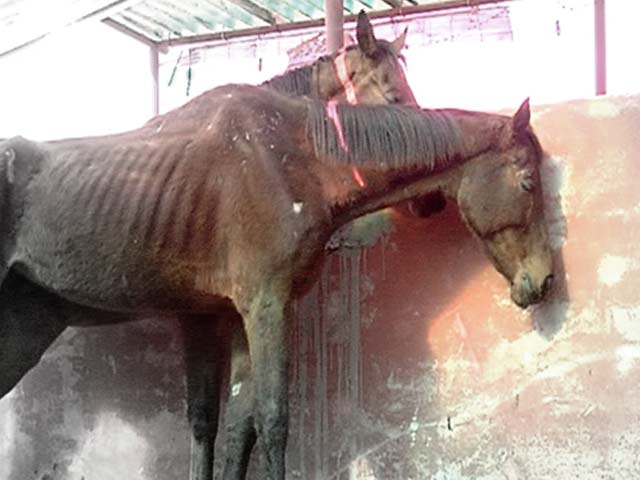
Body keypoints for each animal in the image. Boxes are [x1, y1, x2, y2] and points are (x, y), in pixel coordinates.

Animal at [0, 84, 553, 479]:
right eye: (528, 182)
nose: (543, 280)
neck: (291, 157)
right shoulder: (266, 306)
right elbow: (272, 420)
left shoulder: (225, 316)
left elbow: (230, 426)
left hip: (24, 329)